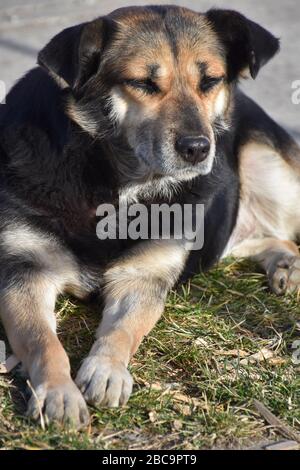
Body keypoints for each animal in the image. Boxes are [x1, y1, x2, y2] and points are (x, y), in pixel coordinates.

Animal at [0, 4, 300, 430]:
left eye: (210, 81)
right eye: (142, 83)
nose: (198, 148)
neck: (118, 184)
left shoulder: (143, 278)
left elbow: (124, 330)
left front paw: (106, 370)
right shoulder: (25, 273)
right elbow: (44, 343)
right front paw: (57, 391)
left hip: (266, 164)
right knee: (267, 237)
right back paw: (284, 264)